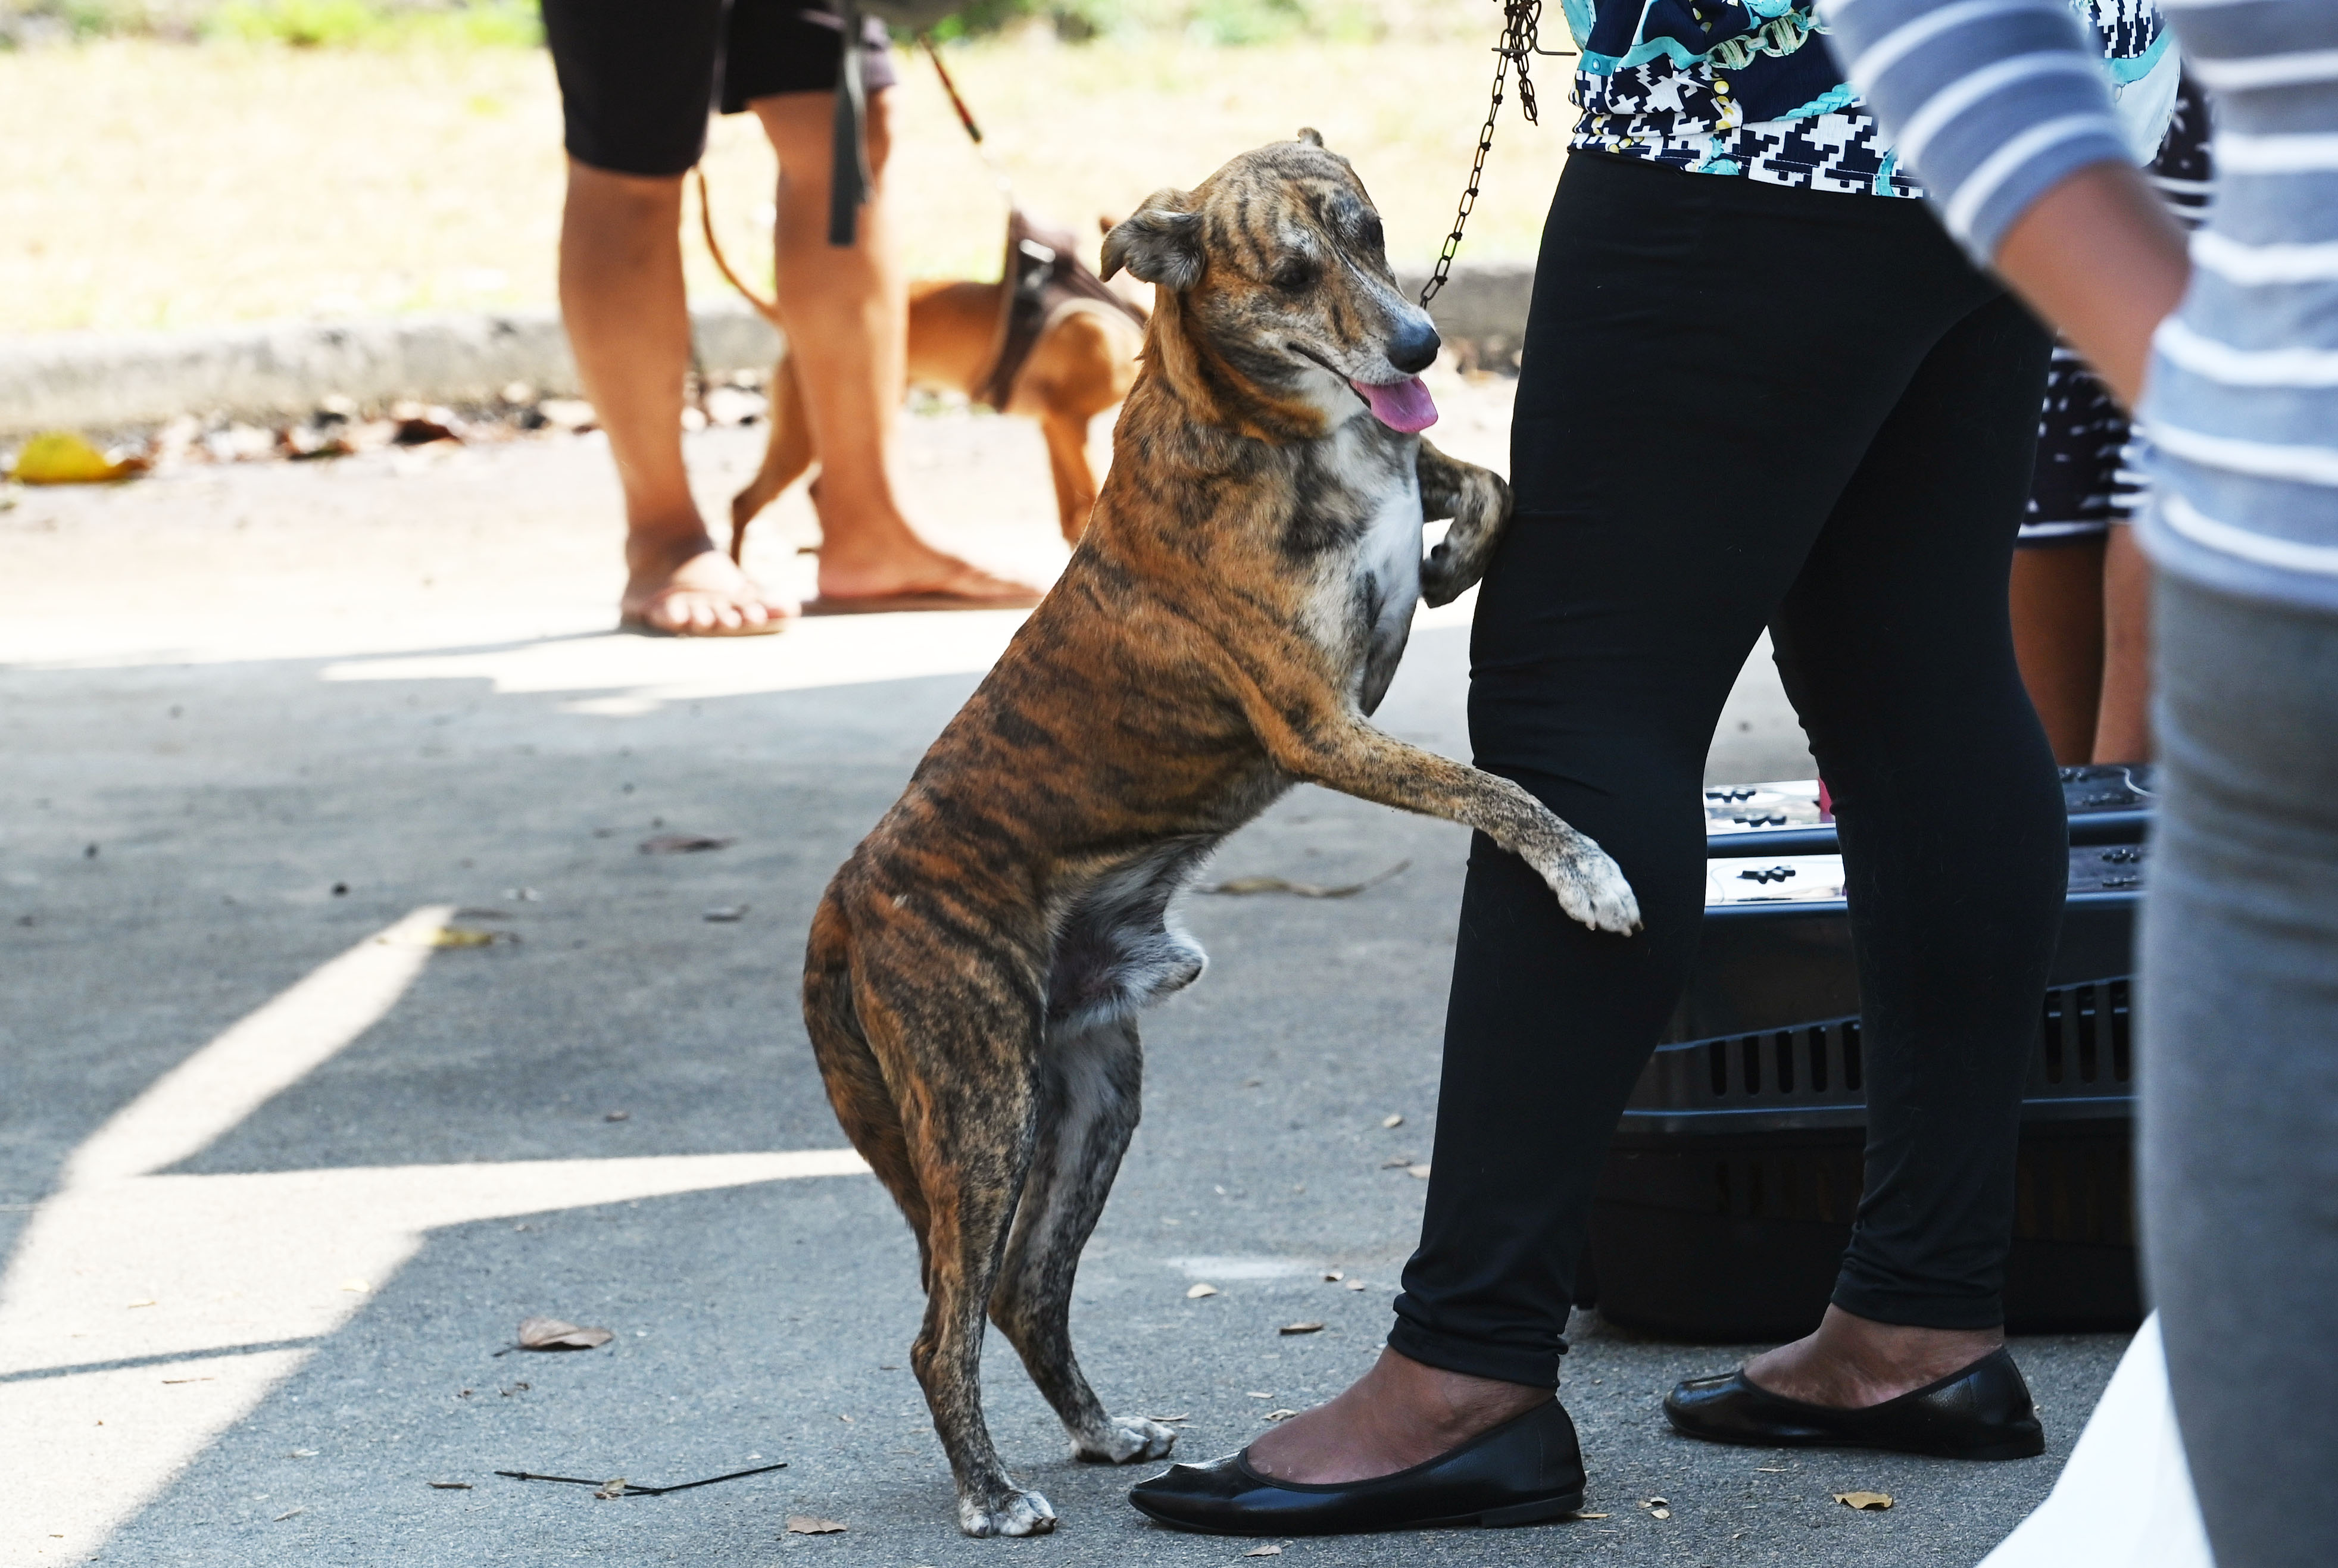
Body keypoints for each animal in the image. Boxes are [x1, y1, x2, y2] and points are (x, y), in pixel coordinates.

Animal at [706, 186, 1154, 556]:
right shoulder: (1067, 421)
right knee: (745, 502)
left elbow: (1070, 514)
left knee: (809, 491)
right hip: (801, 437)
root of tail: (783, 314)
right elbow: (1088, 501)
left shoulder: (1053, 427)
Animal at [795, 128, 1636, 1542]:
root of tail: (848, 896)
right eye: (1293, 274)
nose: (1420, 345)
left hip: (1094, 1098)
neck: (1272, 423)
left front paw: (1450, 540)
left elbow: (1487, 484)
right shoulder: (1324, 724)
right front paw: (1586, 871)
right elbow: (1498, 791)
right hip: (979, 1111)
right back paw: (990, 1491)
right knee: (940, 1324)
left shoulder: (1407, 517)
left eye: (1371, 234)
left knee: (1024, 1289)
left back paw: (1096, 1431)